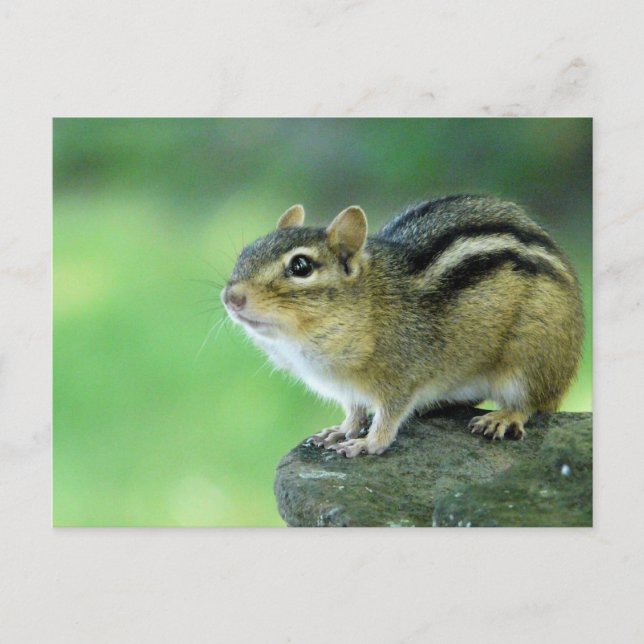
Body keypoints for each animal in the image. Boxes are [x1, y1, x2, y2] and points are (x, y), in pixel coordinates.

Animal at [221, 196, 584, 457]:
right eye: (246, 252)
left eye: (301, 266)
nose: (231, 297)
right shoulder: (348, 388)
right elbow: (355, 410)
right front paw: (342, 429)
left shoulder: (403, 376)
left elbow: (389, 416)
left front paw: (368, 443)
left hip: (531, 358)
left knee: (532, 404)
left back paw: (503, 417)